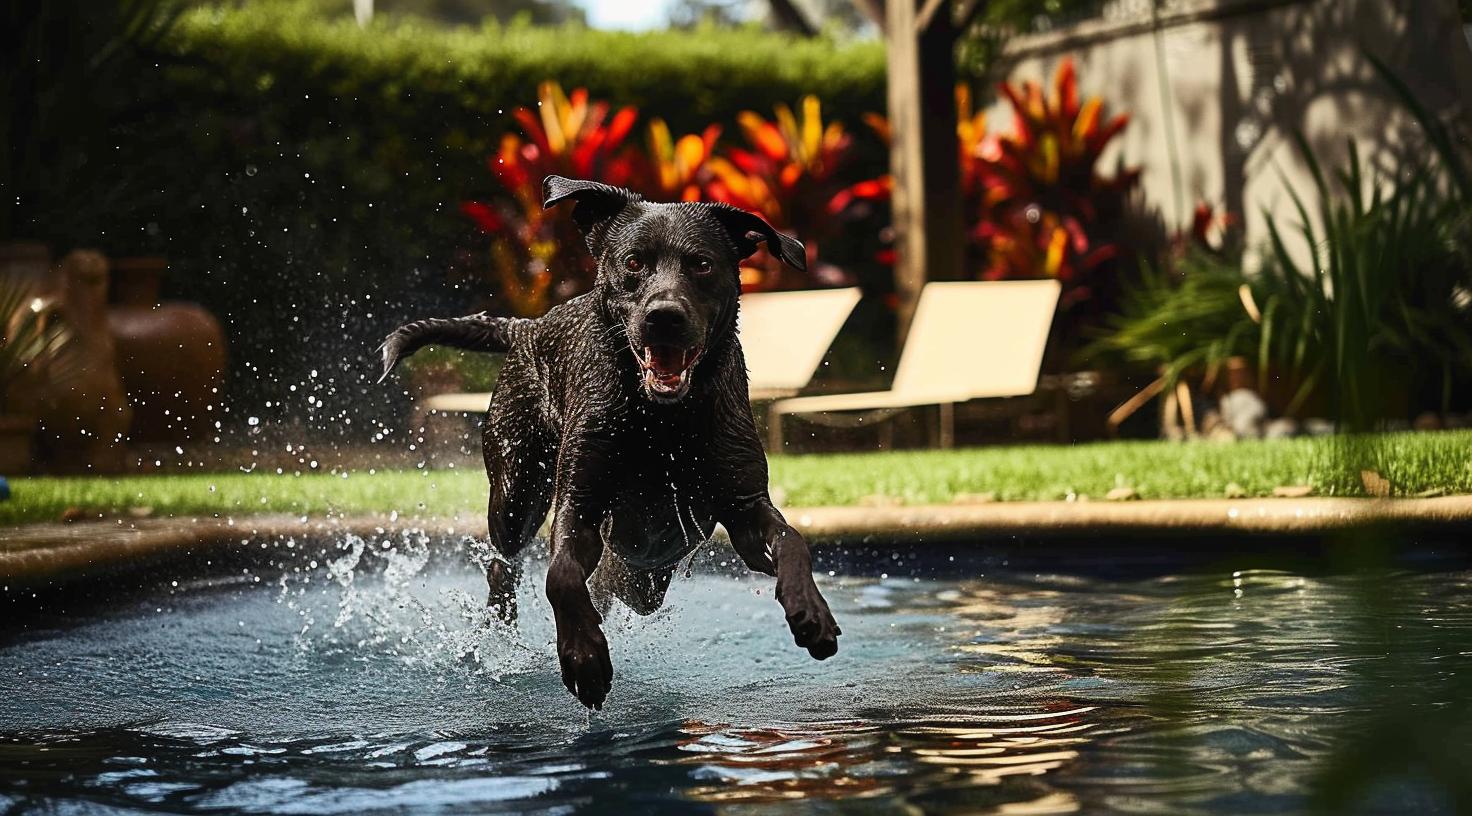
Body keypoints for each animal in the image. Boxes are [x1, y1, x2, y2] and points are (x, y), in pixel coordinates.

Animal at [379, 176, 841, 704]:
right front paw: (584, 657)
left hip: (639, 575)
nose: (664, 316)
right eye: (634, 262)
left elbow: (791, 540)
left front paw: (811, 612)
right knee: (505, 562)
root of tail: (527, 326)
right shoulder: (580, 502)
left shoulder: (744, 511)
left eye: (702, 264)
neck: (661, 422)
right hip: (517, 492)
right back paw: (501, 630)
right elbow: (560, 575)